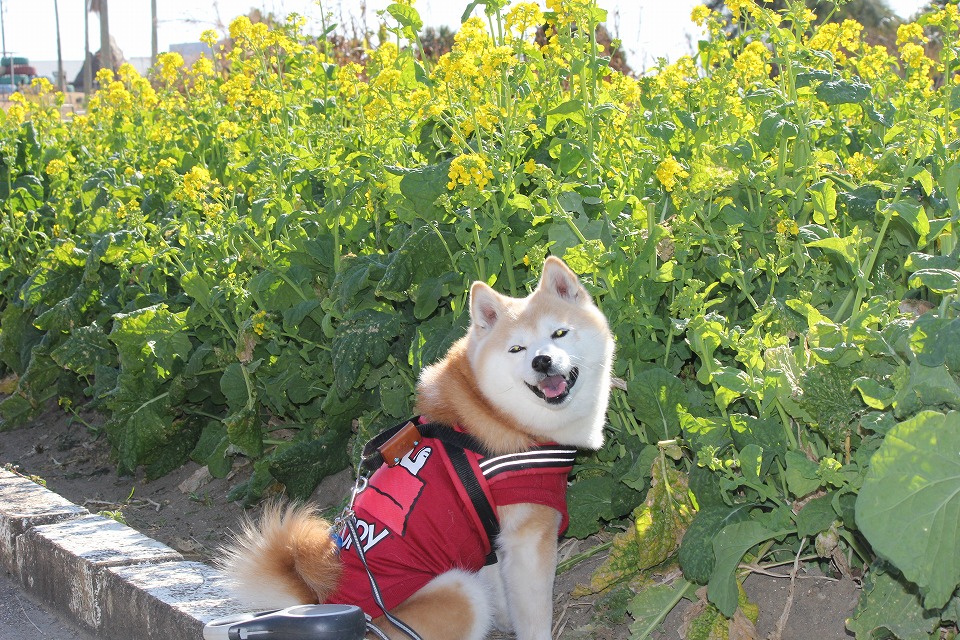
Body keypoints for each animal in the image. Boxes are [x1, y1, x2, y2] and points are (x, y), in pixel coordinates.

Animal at [219, 256, 616, 640]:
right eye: (517, 348)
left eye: (559, 333)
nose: (542, 360)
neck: (499, 414)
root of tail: (322, 606)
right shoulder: (529, 539)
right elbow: (534, 617)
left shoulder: (489, 543)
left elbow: (502, 593)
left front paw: (503, 620)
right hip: (459, 591)